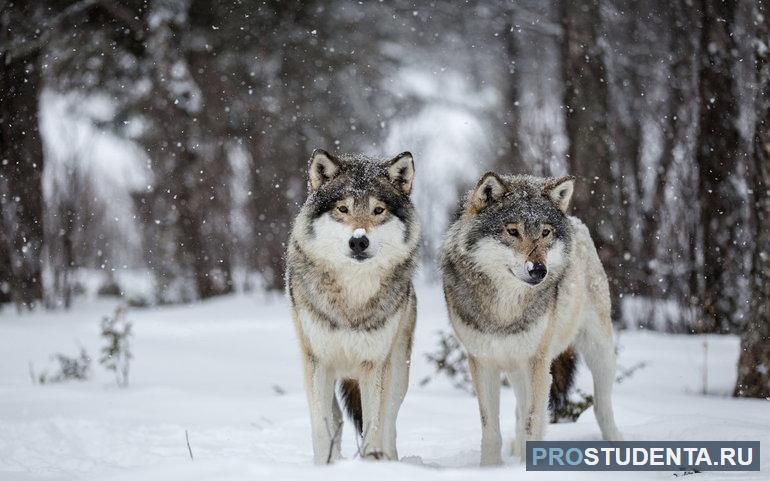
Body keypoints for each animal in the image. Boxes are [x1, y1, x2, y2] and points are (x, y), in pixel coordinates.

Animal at [284, 148, 416, 464]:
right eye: (343, 209)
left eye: (378, 210)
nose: (359, 241)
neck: (352, 300)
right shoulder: (318, 362)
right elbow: (322, 428)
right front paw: (324, 465)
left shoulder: (374, 365)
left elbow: (374, 427)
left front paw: (372, 462)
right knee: (336, 419)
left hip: (397, 372)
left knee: (389, 422)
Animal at [440, 171, 620, 464]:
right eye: (513, 231)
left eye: (545, 232)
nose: (539, 270)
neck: (505, 309)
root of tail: (577, 222)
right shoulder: (482, 362)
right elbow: (491, 428)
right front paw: (490, 467)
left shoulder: (537, 363)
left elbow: (533, 422)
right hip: (517, 368)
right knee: (519, 409)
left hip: (598, 352)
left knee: (602, 407)